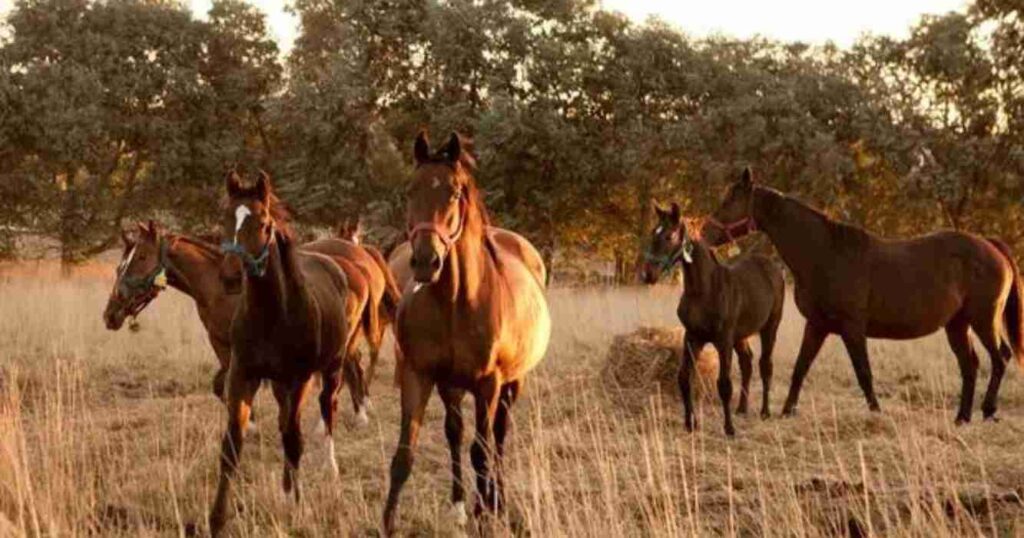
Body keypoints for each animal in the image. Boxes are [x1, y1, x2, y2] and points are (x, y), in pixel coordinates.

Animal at [204, 170, 356, 532]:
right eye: (225, 217)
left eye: (262, 222)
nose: (230, 276)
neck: (272, 314)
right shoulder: (243, 375)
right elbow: (232, 445)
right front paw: (216, 519)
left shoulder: (297, 379)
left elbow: (293, 439)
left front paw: (297, 507)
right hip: (277, 384)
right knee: (286, 421)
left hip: (330, 369)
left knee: (326, 410)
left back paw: (329, 470)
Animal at [380, 133, 552, 532]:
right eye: (411, 189)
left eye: (455, 192)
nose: (426, 262)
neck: (457, 301)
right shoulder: (418, 375)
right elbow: (405, 453)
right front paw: (389, 523)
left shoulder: (488, 384)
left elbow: (482, 451)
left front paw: (485, 513)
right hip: (451, 386)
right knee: (455, 432)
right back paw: (461, 505)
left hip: (511, 383)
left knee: (497, 437)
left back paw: (496, 503)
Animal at [638, 202, 782, 436]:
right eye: (653, 232)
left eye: (669, 236)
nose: (648, 274)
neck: (704, 290)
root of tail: (771, 265)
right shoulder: (692, 337)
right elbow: (684, 378)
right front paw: (690, 423)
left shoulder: (723, 340)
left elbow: (724, 384)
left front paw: (729, 429)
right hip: (740, 335)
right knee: (747, 362)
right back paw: (742, 409)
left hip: (770, 327)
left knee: (765, 365)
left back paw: (765, 412)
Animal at [704, 168, 1024, 424]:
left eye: (730, 200)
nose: (705, 233)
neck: (826, 253)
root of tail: (990, 245)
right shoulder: (817, 326)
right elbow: (800, 368)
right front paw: (785, 411)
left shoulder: (852, 328)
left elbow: (863, 373)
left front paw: (876, 412)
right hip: (958, 324)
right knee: (970, 365)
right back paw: (962, 417)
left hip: (983, 320)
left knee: (1000, 358)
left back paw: (987, 410)